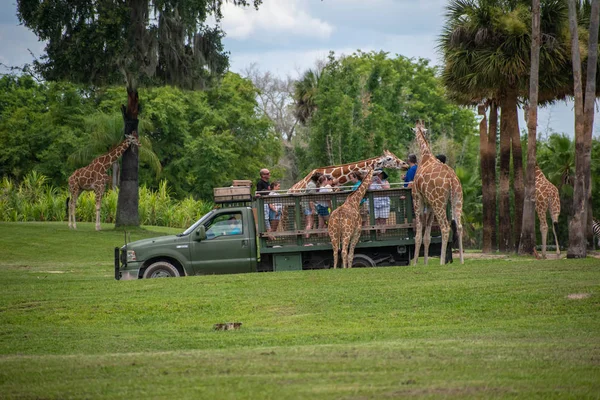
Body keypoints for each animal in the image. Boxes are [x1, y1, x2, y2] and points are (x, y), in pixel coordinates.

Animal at [412, 122, 464, 266]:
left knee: (445, 228)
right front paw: (425, 263)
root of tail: (451, 179)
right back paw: (462, 260)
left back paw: (441, 262)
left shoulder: (417, 199)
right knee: (459, 226)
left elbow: (418, 234)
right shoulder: (429, 203)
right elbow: (427, 236)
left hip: (439, 202)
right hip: (457, 198)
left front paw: (415, 263)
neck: (425, 156)